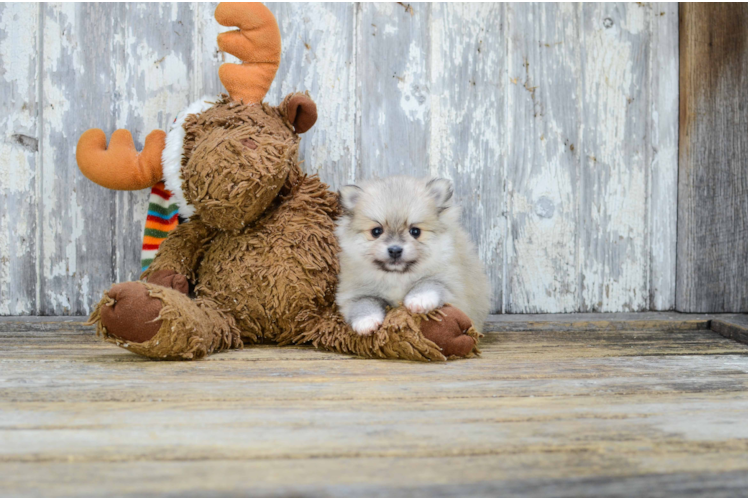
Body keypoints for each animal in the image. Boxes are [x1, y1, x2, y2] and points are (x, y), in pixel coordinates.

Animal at [334, 176, 490, 336]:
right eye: (376, 231)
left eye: (415, 231)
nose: (395, 250)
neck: (397, 276)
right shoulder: (354, 293)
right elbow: (363, 303)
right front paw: (366, 321)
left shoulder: (450, 282)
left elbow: (429, 283)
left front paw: (419, 300)